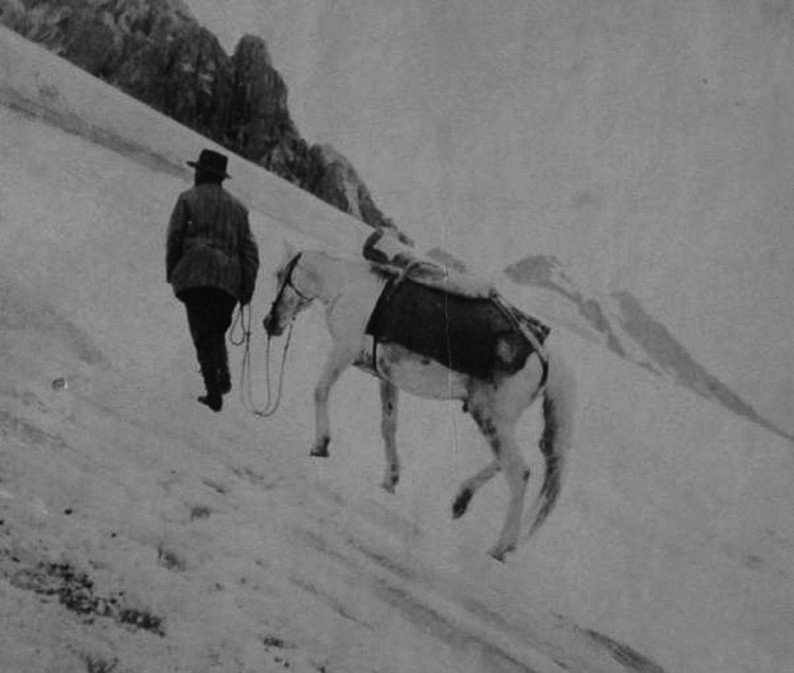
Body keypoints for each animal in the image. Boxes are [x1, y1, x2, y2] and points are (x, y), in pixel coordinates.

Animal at [262, 244, 572, 560]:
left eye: (279, 274)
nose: (269, 323)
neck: (348, 287)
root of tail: (543, 353)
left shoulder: (343, 352)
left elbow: (320, 391)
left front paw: (321, 444)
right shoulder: (387, 376)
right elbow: (388, 426)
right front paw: (390, 478)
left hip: (490, 417)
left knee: (518, 471)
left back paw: (501, 545)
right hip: (494, 417)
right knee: (506, 462)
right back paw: (461, 500)